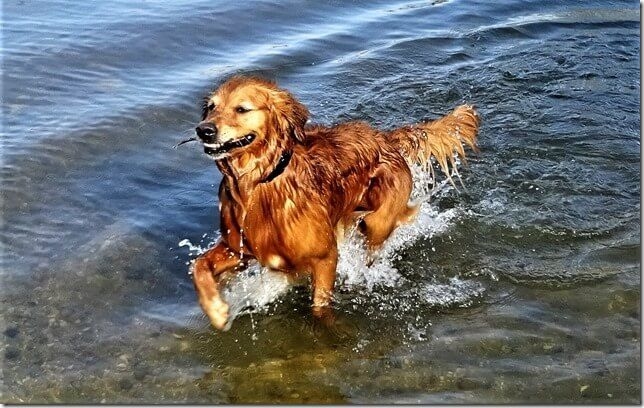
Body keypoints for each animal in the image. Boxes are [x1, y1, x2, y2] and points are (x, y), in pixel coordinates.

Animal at [187, 76, 478, 330]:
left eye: (241, 109)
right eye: (211, 107)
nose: (204, 130)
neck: (259, 184)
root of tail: (384, 138)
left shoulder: (325, 256)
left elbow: (320, 304)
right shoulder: (238, 250)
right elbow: (198, 265)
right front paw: (217, 311)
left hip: (377, 222)